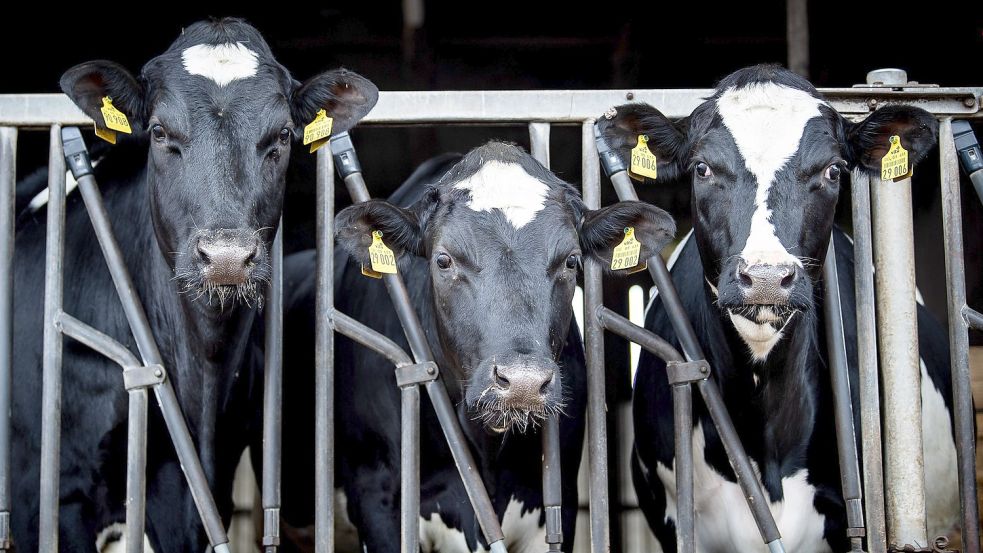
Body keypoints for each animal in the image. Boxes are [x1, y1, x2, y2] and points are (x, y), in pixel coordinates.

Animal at [11, 17, 378, 552]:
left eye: (283, 134)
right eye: (159, 131)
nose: (226, 258)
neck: (198, 375)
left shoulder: (201, 491)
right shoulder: (51, 496)